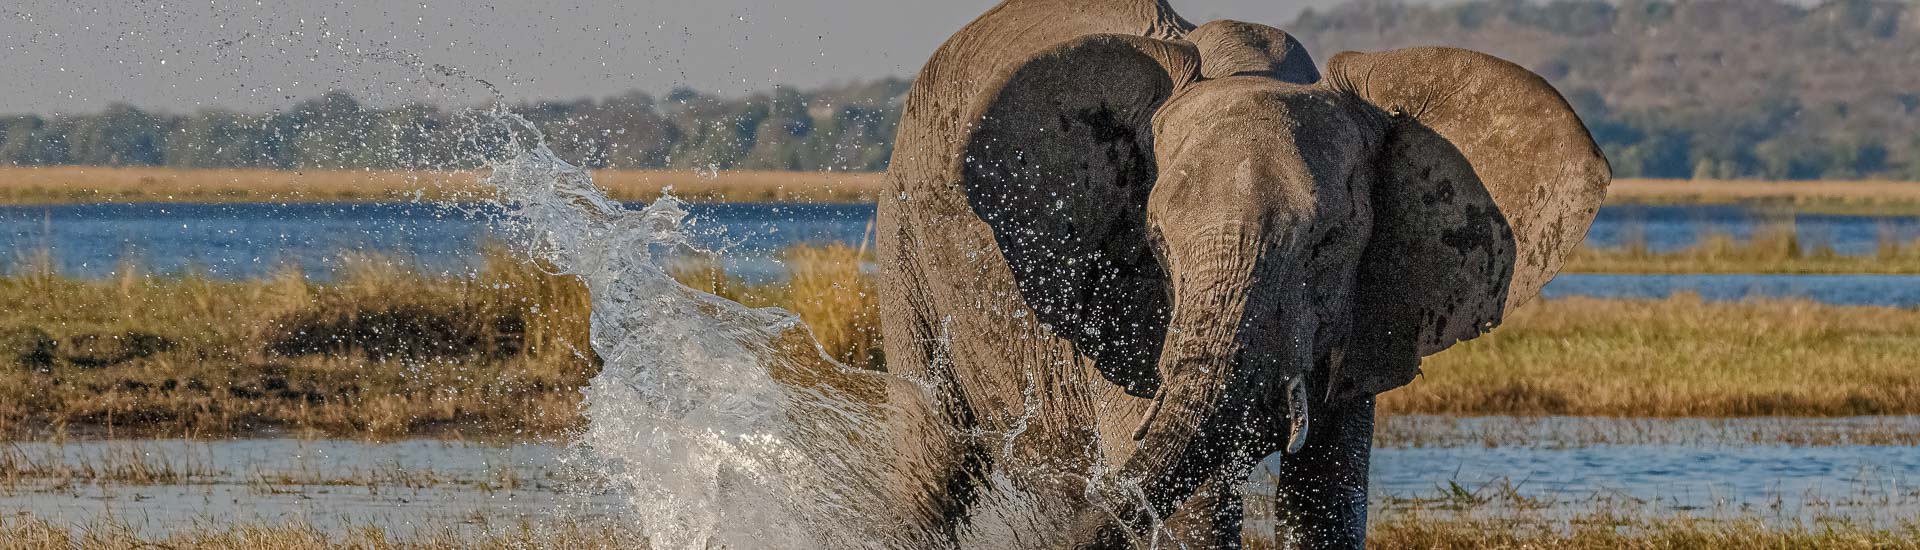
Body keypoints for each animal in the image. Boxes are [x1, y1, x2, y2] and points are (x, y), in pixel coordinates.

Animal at [879, 2, 1612, 546]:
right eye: (1156, 241)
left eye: (1328, 243)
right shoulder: (1126, 307)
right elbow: (1194, 508)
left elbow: (1328, 500)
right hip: (902, 235)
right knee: (932, 465)